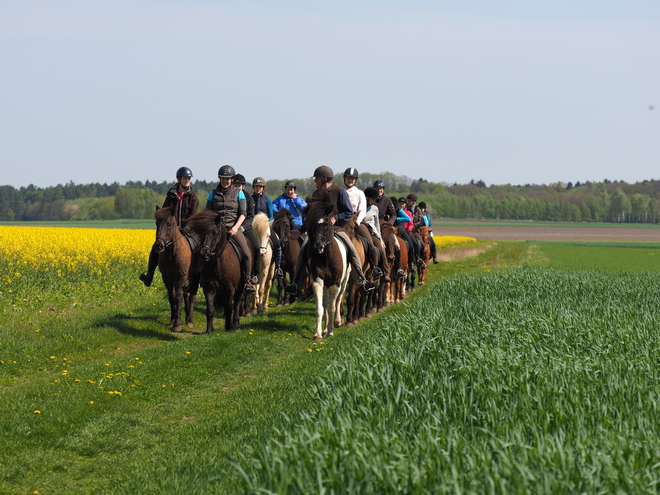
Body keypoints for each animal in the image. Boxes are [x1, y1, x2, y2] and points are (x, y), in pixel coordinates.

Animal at [153, 205, 195, 334]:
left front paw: (177, 324)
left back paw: (189, 320)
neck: (173, 254)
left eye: (170, 224)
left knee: (192, 296)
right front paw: (172, 320)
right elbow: (172, 298)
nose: (159, 246)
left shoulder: (181, 278)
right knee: (186, 294)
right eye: (157, 223)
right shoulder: (167, 279)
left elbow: (178, 298)